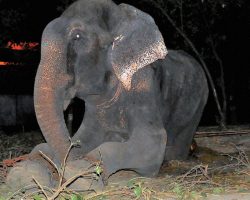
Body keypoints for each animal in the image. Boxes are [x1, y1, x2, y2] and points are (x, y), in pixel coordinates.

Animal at [8, 0, 208, 186]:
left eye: (77, 36)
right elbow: (84, 137)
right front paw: (28, 169)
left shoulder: (142, 84)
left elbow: (152, 142)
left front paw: (83, 173)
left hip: (198, 104)